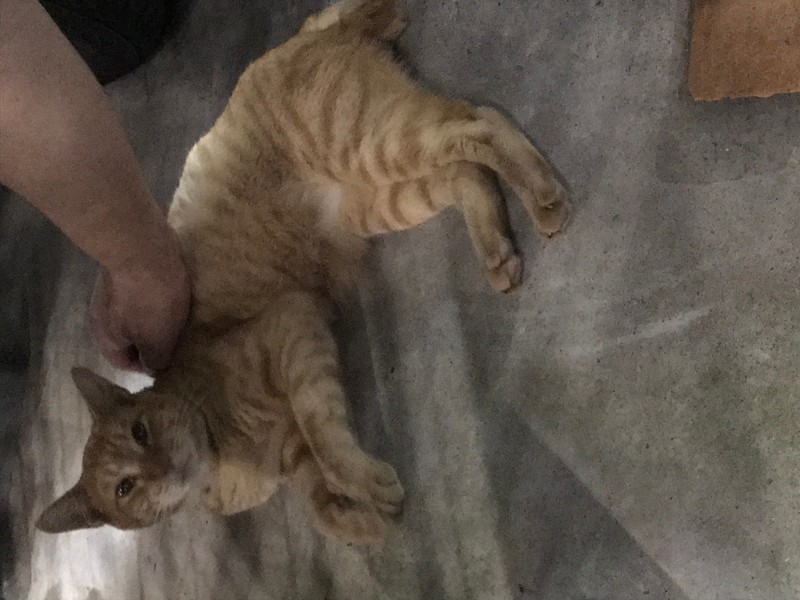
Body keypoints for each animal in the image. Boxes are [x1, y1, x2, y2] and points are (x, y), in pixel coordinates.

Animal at [37, 0, 570, 543]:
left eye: (140, 431)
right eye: (124, 488)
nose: (163, 468)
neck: (225, 450)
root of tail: (298, 36)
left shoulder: (293, 329)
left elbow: (327, 444)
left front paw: (370, 485)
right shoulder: (297, 461)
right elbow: (325, 512)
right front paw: (377, 519)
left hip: (375, 145)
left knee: (481, 123)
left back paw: (544, 197)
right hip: (380, 200)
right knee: (465, 173)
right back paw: (497, 252)